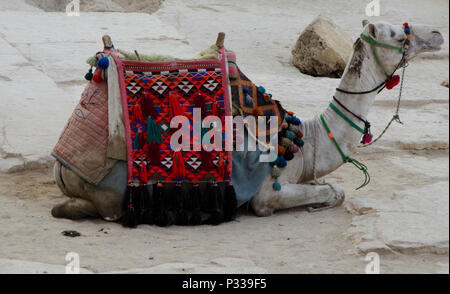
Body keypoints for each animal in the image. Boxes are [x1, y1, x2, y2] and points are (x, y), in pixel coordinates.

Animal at [51, 20, 442, 223]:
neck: (309, 140)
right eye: (400, 34)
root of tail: (59, 163)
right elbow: (335, 191)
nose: (437, 34)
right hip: (107, 190)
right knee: (102, 209)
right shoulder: (268, 191)